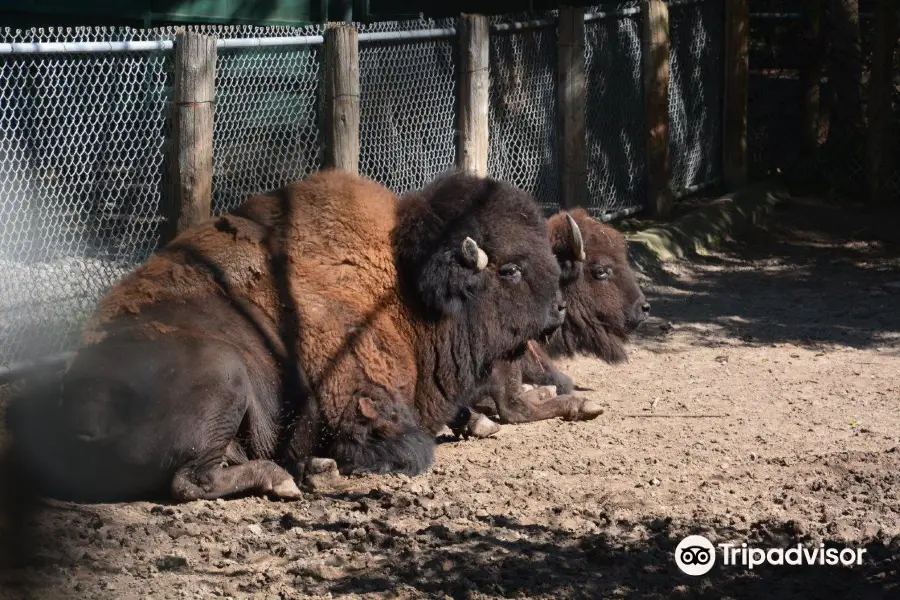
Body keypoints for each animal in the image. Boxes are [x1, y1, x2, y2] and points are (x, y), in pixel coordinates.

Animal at [7, 171, 568, 504]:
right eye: (511, 270)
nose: (560, 306)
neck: (402, 282)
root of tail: (70, 414)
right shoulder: (359, 398)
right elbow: (407, 447)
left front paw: (482, 420)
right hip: (226, 373)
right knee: (190, 480)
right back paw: (290, 478)